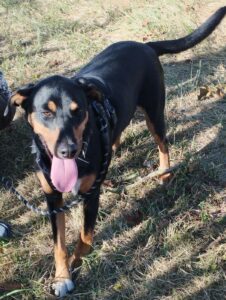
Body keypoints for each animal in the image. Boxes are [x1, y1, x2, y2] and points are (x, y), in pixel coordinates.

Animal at [9, 5, 225, 296]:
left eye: (78, 111)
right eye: (46, 112)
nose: (69, 151)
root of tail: (144, 45)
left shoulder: (91, 194)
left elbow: (85, 238)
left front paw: (76, 265)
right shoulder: (53, 199)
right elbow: (59, 245)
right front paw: (62, 277)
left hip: (154, 112)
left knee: (163, 143)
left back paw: (165, 172)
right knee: (119, 129)